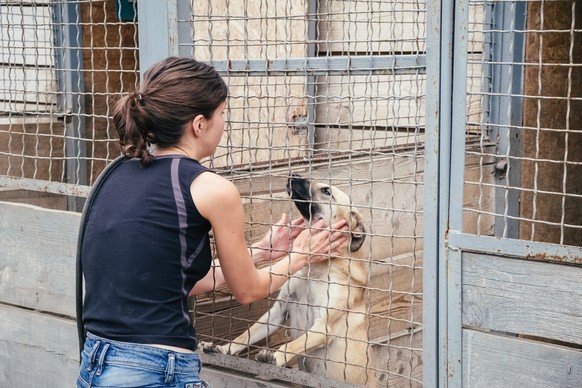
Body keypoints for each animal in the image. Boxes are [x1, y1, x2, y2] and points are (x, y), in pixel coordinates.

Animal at [201, 174, 374, 386]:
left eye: (326, 191)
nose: (293, 175)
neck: (316, 268)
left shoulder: (323, 327)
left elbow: (292, 345)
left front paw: (276, 357)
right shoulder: (278, 311)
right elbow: (246, 335)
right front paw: (225, 349)